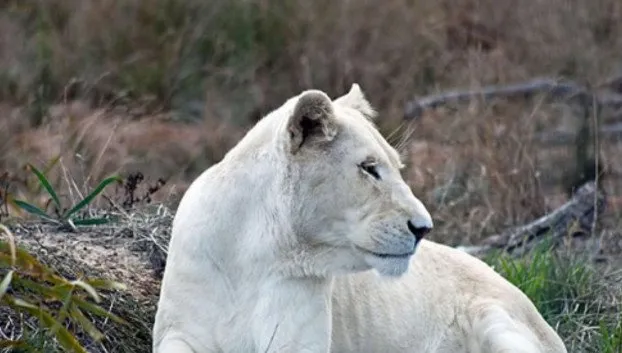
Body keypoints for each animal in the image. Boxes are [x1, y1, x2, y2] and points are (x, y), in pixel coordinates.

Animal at [152, 84, 572, 350]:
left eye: (397, 166)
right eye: (370, 168)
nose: (424, 228)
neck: (255, 253)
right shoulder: (180, 330)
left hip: (498, 322)